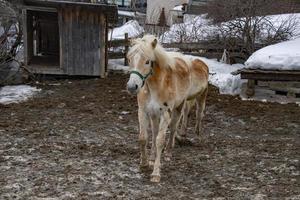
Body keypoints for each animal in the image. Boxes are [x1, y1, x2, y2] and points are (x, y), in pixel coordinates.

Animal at [126, 34, 209, 183]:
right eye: (129, 59)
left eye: (147, 61)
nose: (132, 87)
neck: (155, 86)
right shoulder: (143, 112)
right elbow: (143, 138)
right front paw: (144, 163)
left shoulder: (165, 114)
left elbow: (160, 140)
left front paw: (156, 174)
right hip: (154, 115)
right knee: (154, 132)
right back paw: (152, 157)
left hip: (181, 107)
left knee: (175, 127)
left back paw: (169, 152)